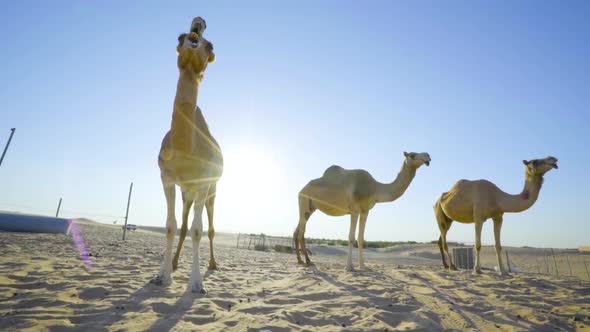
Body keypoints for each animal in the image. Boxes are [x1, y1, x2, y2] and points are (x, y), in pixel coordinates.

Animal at [151, 18, 223, 294]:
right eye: (180, 36)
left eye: (211, 45)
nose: (198, 24)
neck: (186, 149)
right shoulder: (167, 177)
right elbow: (171, 227)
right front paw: (163, 276)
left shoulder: (204, 183)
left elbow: (198, 230)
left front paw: (196, 283)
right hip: (187, 194)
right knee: (182, 225)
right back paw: (172, 264)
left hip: (211, 192)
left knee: (210, 228)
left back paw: (212, 264)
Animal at [294, 152, 430, 272]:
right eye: (412, 155)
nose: (428, 156)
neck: (375, 188)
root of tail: (301, 189)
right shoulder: (354, 209)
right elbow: (351, 237)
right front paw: (349, 267)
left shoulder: (365, 211)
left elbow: (360, 238)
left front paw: (363, 266)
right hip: (304, 201)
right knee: (301, 232)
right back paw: (308, 261)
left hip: (310, 208)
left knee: (297, 231)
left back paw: (300, 261)